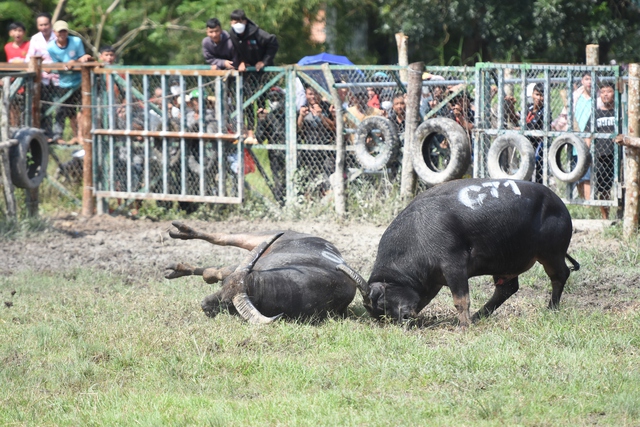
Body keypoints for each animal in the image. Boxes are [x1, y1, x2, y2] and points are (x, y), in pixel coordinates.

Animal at [162, 224, 358, 324]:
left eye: (227, 303)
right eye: (222, 287)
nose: (203, 304)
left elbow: (211, 273)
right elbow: (214, 273)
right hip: (259, 237)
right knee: (222, 238)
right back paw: (180, 233)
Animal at [340, 178, 580, 328]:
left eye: (382, 302)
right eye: (380, 313)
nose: (405, 317)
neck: (417, 234)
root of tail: (559, 204)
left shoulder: (453, 265)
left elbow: (460, 299)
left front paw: (463, 326)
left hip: (551, 253)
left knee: (560, 275)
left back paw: (551, 308)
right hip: (506, 263)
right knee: (507, 288)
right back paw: (479, 316)